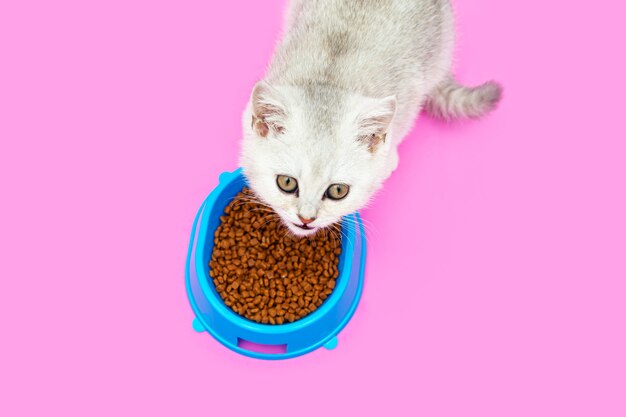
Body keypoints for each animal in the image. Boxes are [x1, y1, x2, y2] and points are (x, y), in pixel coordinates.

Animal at [236, 0, 500, 236]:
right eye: (287, 183)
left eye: (338, 191)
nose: (306, 218)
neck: (330, 80)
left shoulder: (411, 93)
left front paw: (388, 159)